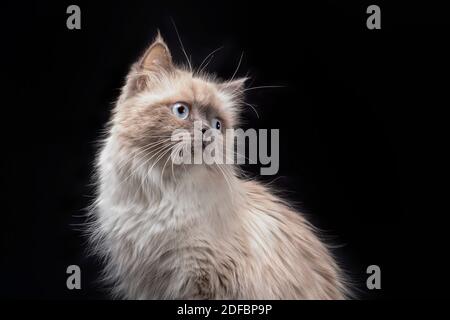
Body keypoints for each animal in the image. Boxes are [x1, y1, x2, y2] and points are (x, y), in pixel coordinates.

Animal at [90, 33, 348, 300]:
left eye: (217, 125)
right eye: (181, 111)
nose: (207, 132)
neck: (162, 189)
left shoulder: (204, 281)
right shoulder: (144, 282)